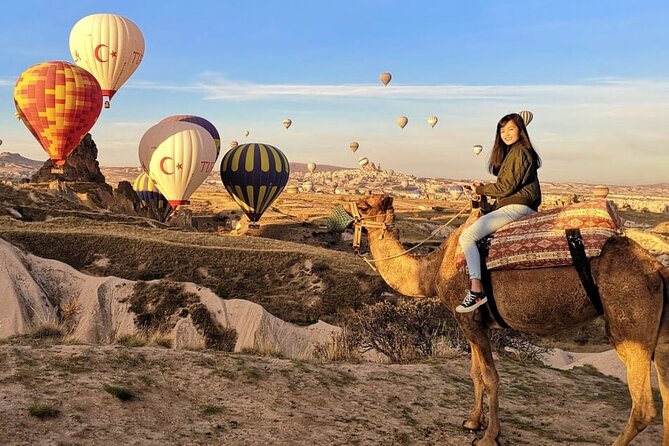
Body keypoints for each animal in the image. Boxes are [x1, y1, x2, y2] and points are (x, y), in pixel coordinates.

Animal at [350, 195, 668, 446]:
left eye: (364, 205)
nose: (349, 212)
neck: (433, 268)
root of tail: (656, 267)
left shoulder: (469, 320)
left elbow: (490, 377)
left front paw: (489, 437)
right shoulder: (475, 324)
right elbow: (475, 372)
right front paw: (472, 422)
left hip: (629, 327)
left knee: (643, 407)